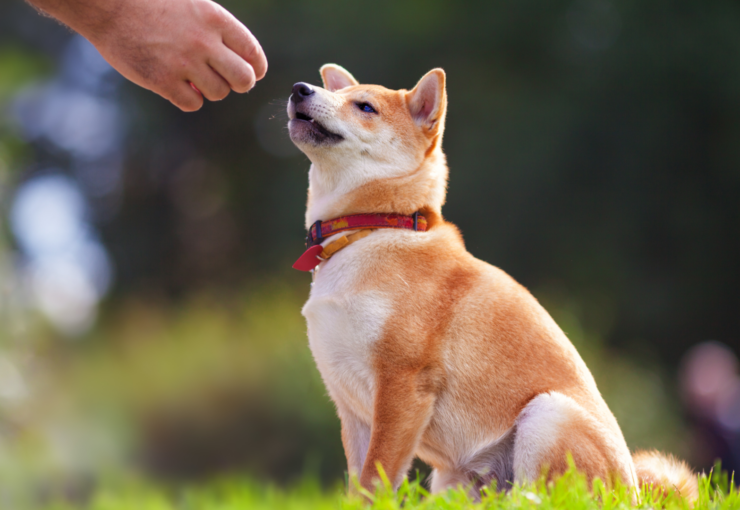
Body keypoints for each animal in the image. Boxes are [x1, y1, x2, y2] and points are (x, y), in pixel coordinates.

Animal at [286, 63, 696, 498]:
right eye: (338, 95)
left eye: (365, 106)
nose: (299, 88)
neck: (370, 229)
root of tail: (633, 492)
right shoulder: (351, 406)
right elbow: (359, 483)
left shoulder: (403, 383)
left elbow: (377, 477)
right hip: (454, 480)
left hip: (547, 413)